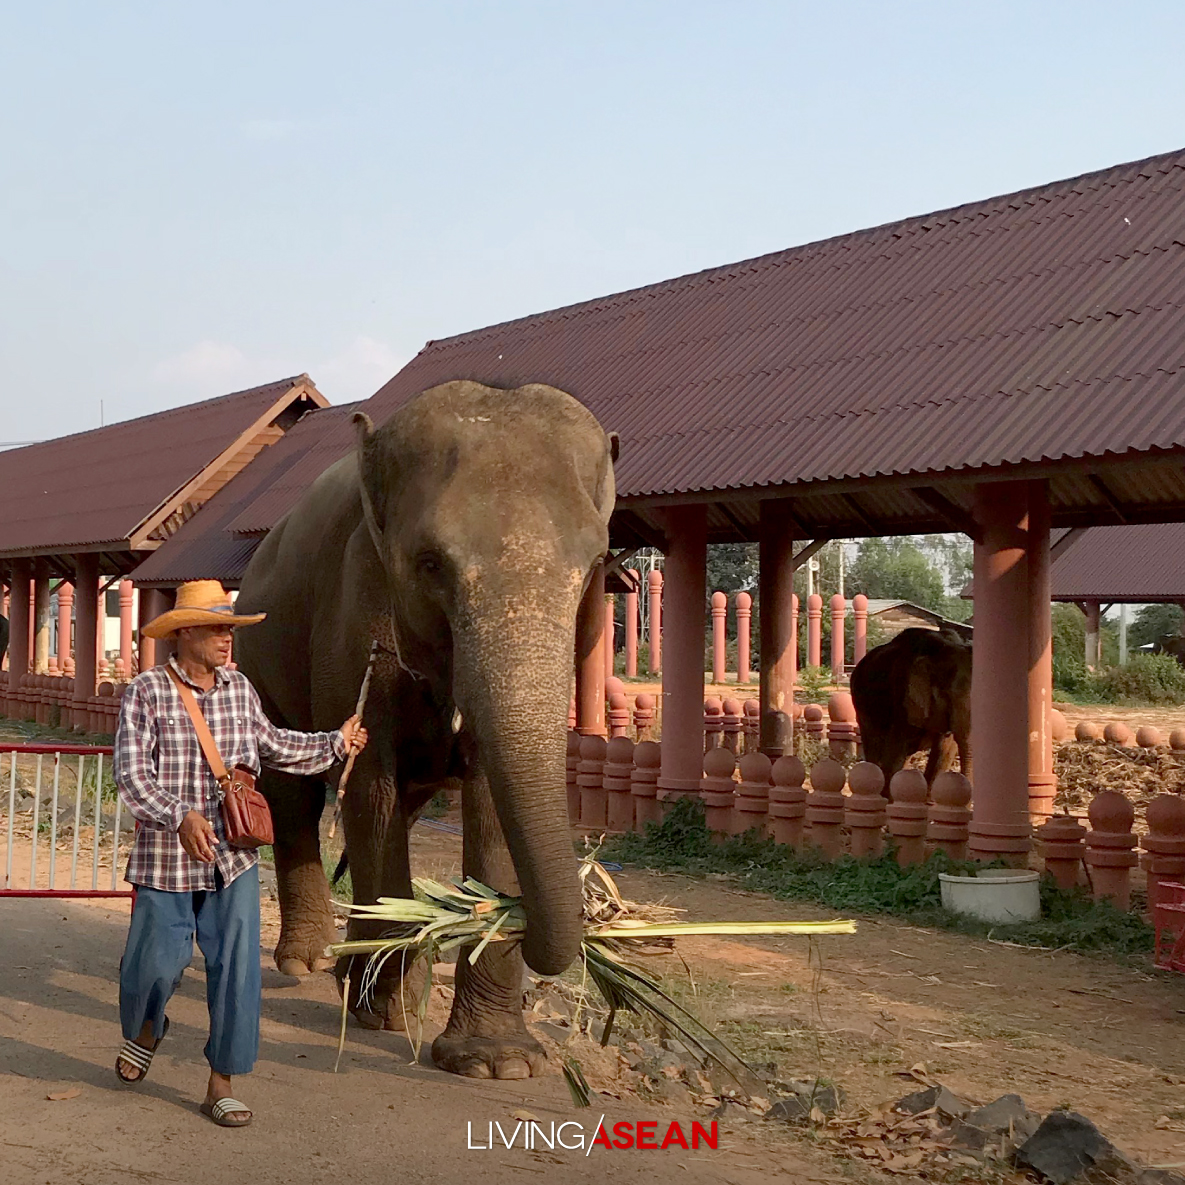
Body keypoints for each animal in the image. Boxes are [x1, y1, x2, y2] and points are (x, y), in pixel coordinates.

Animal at [234, 381, 616, 1085]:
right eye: (431, 562)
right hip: (259, 652)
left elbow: (488, 800)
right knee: (294, 796)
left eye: (597, 562)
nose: (529, 927)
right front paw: (386, 1014)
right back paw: (313, 963)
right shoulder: (355, 608)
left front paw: (497, 1062)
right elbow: (370, 785)